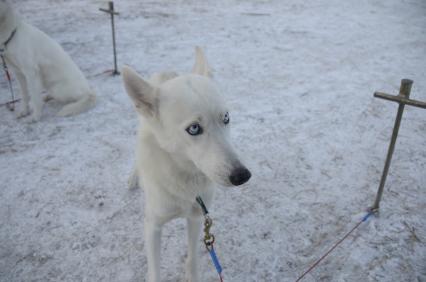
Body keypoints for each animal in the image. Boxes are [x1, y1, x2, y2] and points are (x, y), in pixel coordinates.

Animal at [121, 47, 251, 280]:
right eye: (194, 128)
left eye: (226, 118)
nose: (242, 175)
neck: (184, 179)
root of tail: (168, 73)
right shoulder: (152, 225)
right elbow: (155, 272)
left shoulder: (197, 218)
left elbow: (192, 259)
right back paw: (134, 177)